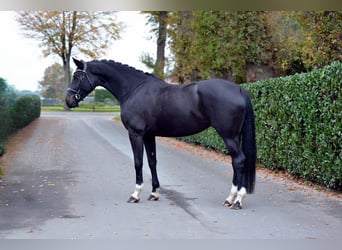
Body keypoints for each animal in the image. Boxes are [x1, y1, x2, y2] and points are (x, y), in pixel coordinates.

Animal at [65, 58, 255, 209]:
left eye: (78, 77)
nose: (68, 100)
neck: (134, 89)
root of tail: (238, 89)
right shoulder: (149, 135)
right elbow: (152, 162)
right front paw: (154, 193)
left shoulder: (136, 134)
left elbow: (138, 162)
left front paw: (135, 195)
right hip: (234, 136)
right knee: (236, 162)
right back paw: (232, 199)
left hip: (228, 136)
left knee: (239, 161)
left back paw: (236, 200)